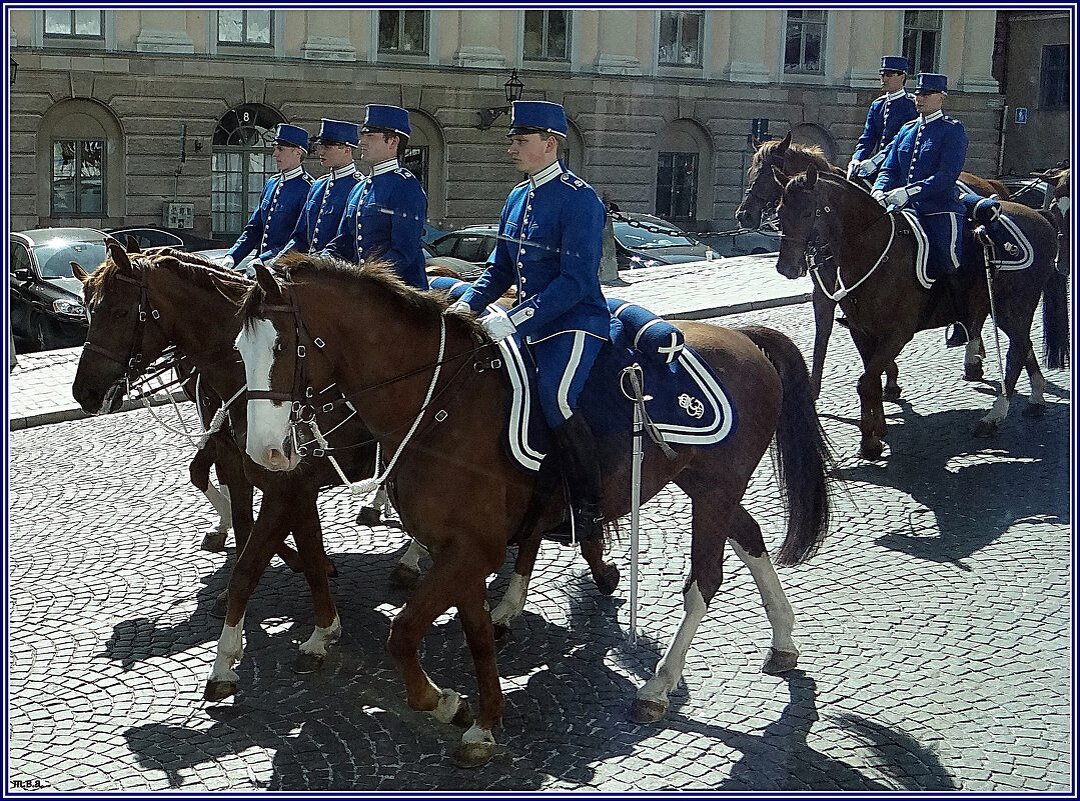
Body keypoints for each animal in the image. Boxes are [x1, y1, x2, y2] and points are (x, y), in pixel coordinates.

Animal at [232, 256, 829, 772]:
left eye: (283, 346)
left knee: (705, 577)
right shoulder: (462, 552)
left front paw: (442, 700)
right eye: (240, 348)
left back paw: (659, 687)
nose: (265, 452)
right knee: (751, 536)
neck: (438, 404)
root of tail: (743, 336)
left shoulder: (474, 550)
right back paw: (783, 641)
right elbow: (474, 636)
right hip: (706, 485)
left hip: (714, 488)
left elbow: (402, 634)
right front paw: (482, 721)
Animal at [730, 135, 1006, 408]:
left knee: (976, 312)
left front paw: (889, 380)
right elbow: (823, 337)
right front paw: (816, 390)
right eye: (751, 171)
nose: (744, 215)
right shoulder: (825, 295)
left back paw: (972, 357)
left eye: (765, 173)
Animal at [773, 165, 1067, 464]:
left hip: (1014, 306)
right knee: (1024, 344)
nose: (787, 267)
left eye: (808, 213)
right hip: (1006, 311)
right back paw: (1035, 399)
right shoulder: (862, 331)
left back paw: (994, 416)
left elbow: (866, 382)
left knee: (1016, 352)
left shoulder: (896, 335)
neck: (876, 253)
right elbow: (871, 380)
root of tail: (1039, 216)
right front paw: (877, 431)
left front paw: (870, 441)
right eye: (780, 213)